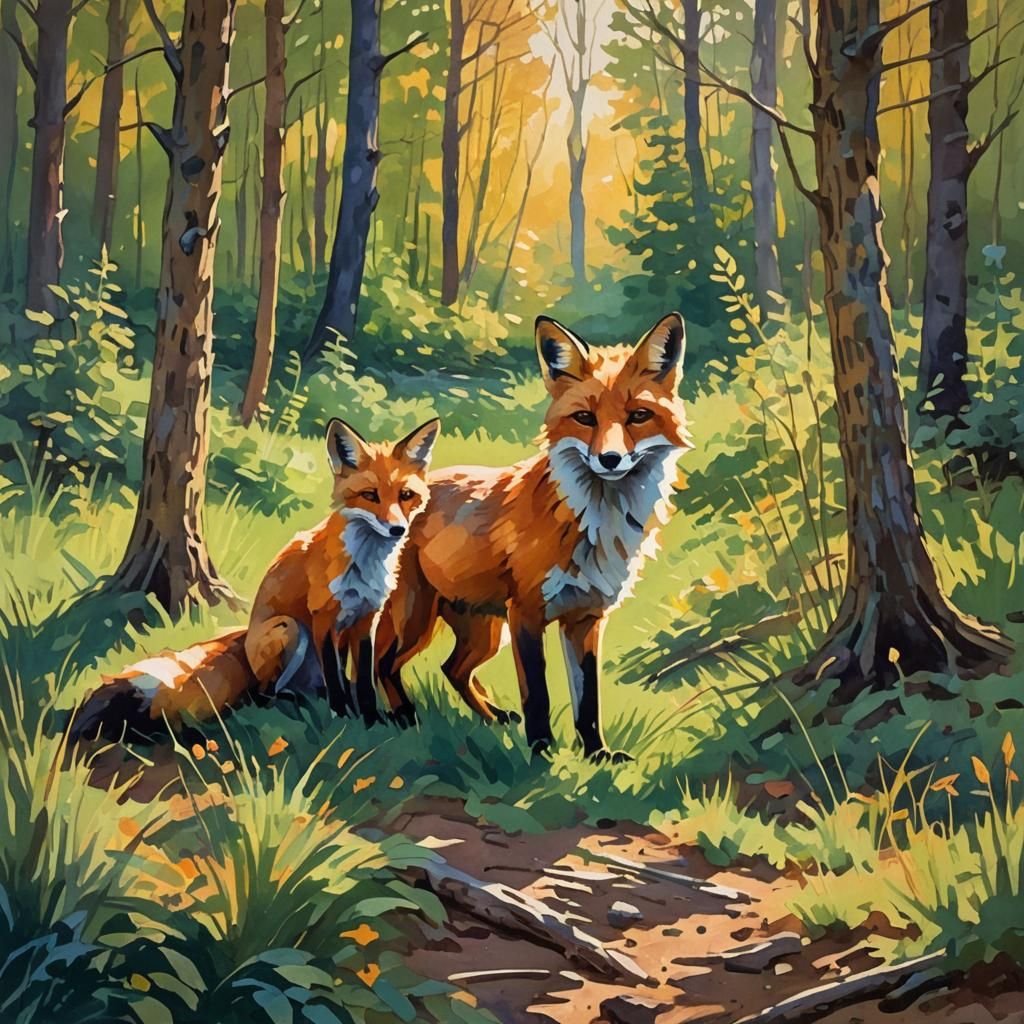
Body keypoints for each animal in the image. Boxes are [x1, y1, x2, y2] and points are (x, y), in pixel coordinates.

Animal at [69, 417, 440, 743]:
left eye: (406, 496)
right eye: (370, 495)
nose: (397, 530)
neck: (365, 565)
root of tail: (245, 637)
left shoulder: (367, 619)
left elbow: (363, 682)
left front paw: (372, 720)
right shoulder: (323, 619)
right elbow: (338, 681)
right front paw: (344, 719)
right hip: (289, 627)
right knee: (264, 695)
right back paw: (294, 704)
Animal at [375, 313, 691, 762]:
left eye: (638, 415)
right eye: (585, 418)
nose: (610, 459)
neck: (595, 524)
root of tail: (400, 494)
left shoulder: (585, 619)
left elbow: (588, 700)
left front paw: (596, 755)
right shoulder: (526, 614)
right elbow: (537, 695)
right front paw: (541, 753)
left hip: (484, 632)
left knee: (452, 669)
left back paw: (491, 717)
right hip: (417, 618)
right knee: (383, 664)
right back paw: (403, 717)